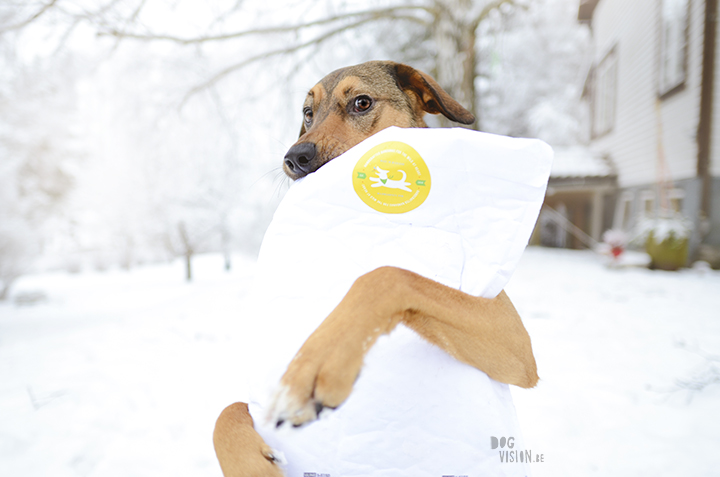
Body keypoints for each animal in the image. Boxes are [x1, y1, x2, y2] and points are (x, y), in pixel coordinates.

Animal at [211, 61, 536, 476]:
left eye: (361, 102)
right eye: (308, 113)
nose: (295, 158)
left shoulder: (515, 346)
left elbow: (386, 275)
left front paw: (318, 364)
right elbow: (229, 409)